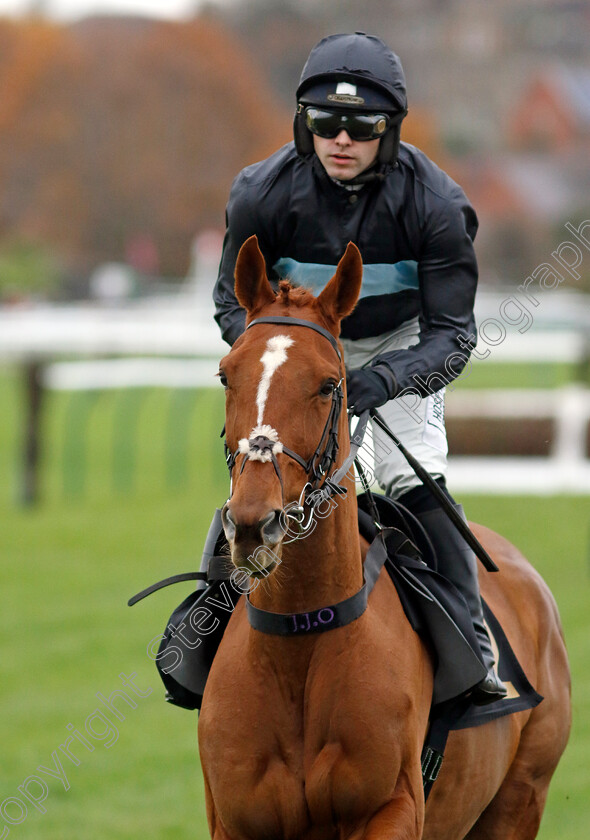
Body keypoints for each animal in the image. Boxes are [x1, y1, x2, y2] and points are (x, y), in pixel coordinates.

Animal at [199, 235, 572, 840]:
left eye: (330, 384)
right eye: (226, 375)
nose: (255, 523)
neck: (300, 634)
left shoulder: (392, 807)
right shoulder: (234, 821)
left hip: (521, 797)